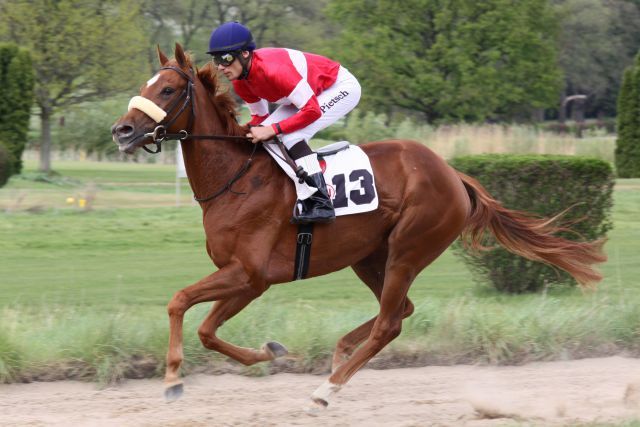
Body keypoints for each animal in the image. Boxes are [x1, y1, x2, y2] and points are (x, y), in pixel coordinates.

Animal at [112, 45, 608, 410]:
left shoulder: (249, 275)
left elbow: (180, 303)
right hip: (370, 256)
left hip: (409, 248)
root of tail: (452, 174)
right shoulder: (245, 280)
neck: (237, 178)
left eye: (169, 89)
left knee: (390, 323)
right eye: (144, 86)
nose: (121, 131)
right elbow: (207, 331)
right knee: (401, 311)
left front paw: (172, 379)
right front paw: (268, 352)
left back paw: (327, 389)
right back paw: (338, 356)